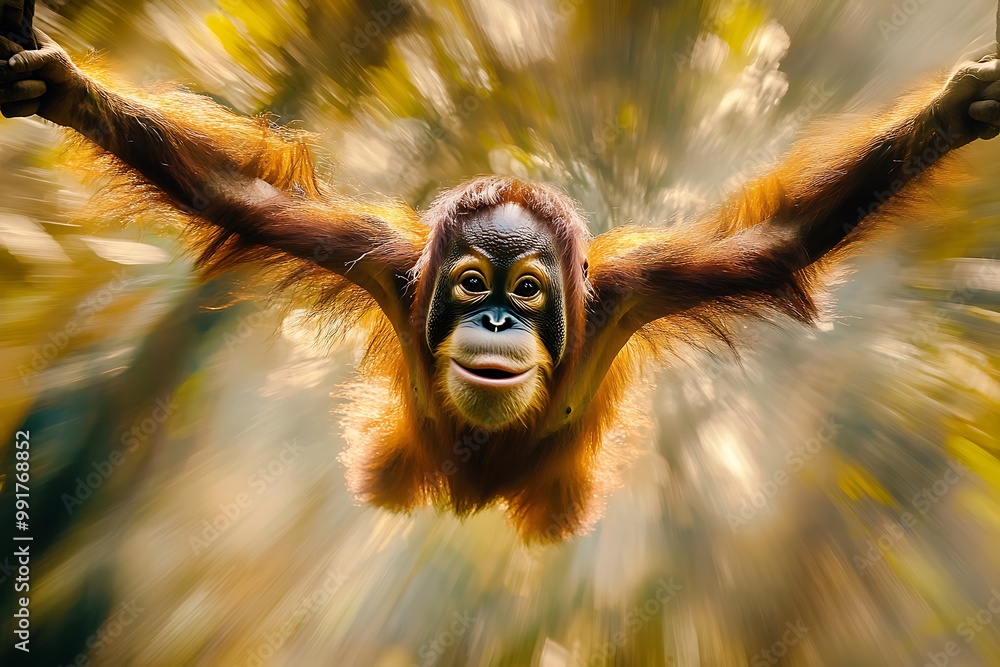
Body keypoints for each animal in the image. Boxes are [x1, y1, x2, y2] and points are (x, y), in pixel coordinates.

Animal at [3, 27, 1000, 542]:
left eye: (527, 291)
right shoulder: (379, 259)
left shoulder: (632, 289)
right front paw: (65, 88)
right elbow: (237, 197)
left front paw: (955, 112)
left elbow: (777, 243)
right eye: (474, 280)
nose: (492, 317)